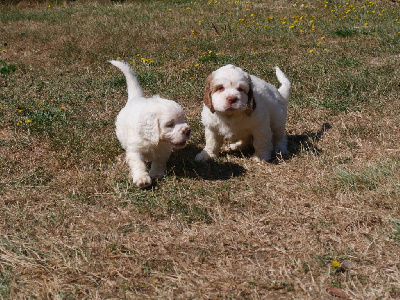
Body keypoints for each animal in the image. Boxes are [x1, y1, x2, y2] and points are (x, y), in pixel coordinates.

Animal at [109, 60, 191, 189]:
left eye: (182, 119)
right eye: (169, 124)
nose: (188, 130)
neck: (153, 141)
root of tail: (135, 98)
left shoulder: (163, 150)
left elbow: (159, 161)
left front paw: (156, 174)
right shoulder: (135, 149)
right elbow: (138, 164)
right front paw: (142, 179)